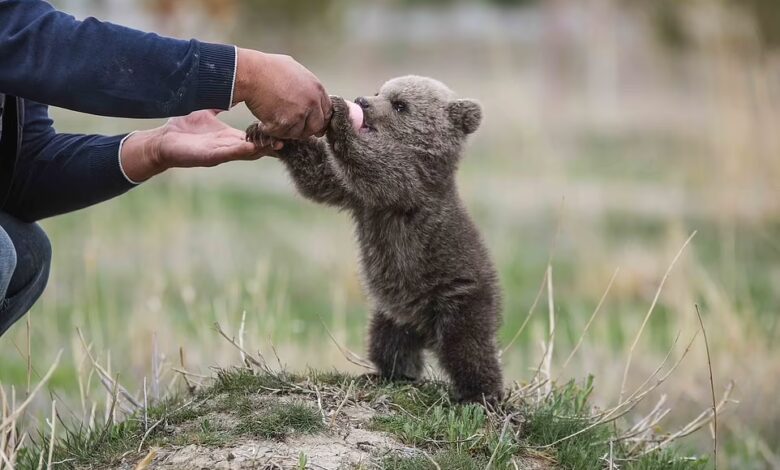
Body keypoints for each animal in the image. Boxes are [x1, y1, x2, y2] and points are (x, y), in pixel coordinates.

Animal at [246, 76, 503, 403]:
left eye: (400, 104)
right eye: (381, 90)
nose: (363, 101)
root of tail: (424, 326)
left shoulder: (409, 183)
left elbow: (372, 165)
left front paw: (339, 114)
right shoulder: (359, 199)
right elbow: (319, 176)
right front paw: (268, 134)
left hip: (457, 298)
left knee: (468, 348)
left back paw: (481, 395)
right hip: (393, 314)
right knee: (390, 344)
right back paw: (389, 374)